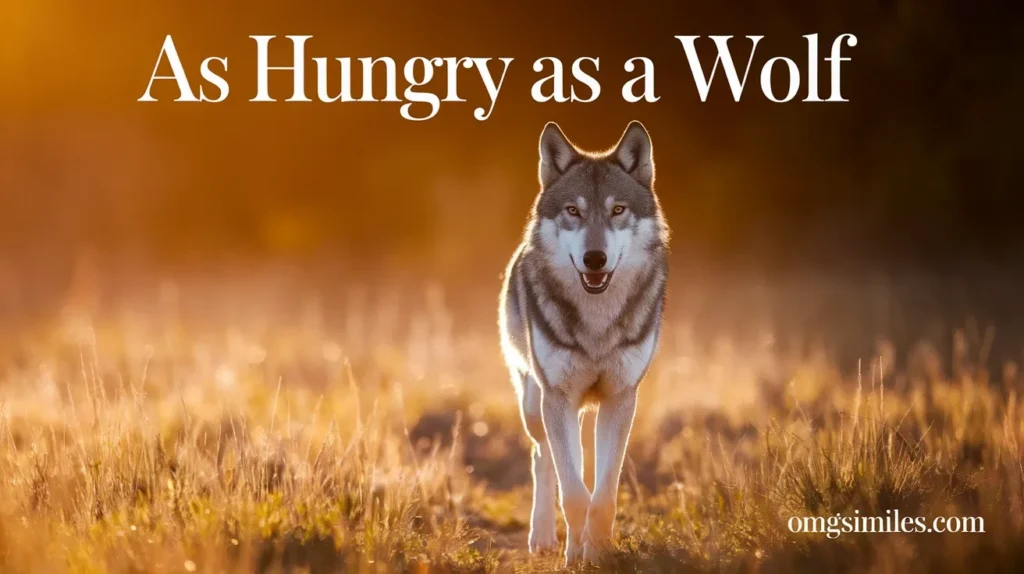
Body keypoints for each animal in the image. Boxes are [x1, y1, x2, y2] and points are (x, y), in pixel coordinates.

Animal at [498, 121, 669, 565]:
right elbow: (574, 494)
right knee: (543, 459)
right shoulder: (557, 396)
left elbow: (603, 496)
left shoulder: (620, 398)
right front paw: (576, 554)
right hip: (535, 403)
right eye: (573, 211)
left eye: (618, 210)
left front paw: (601, 551)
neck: (597, 321)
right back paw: (544, 537)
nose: (595, 258)